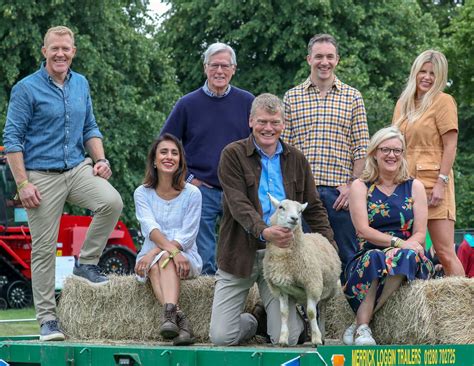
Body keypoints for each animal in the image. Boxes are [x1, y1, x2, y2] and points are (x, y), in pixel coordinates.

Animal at [262, 194, 340, 346]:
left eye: (300, 211)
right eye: (281, 207)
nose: (294, 218)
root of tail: (318, 234)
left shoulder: (312, 285)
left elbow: (311, 313)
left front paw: (316, 339)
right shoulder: (281, 288)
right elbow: (284, 313)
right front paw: (283, 339)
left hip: (327, 290)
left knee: (321, 310)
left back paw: (322, 335)